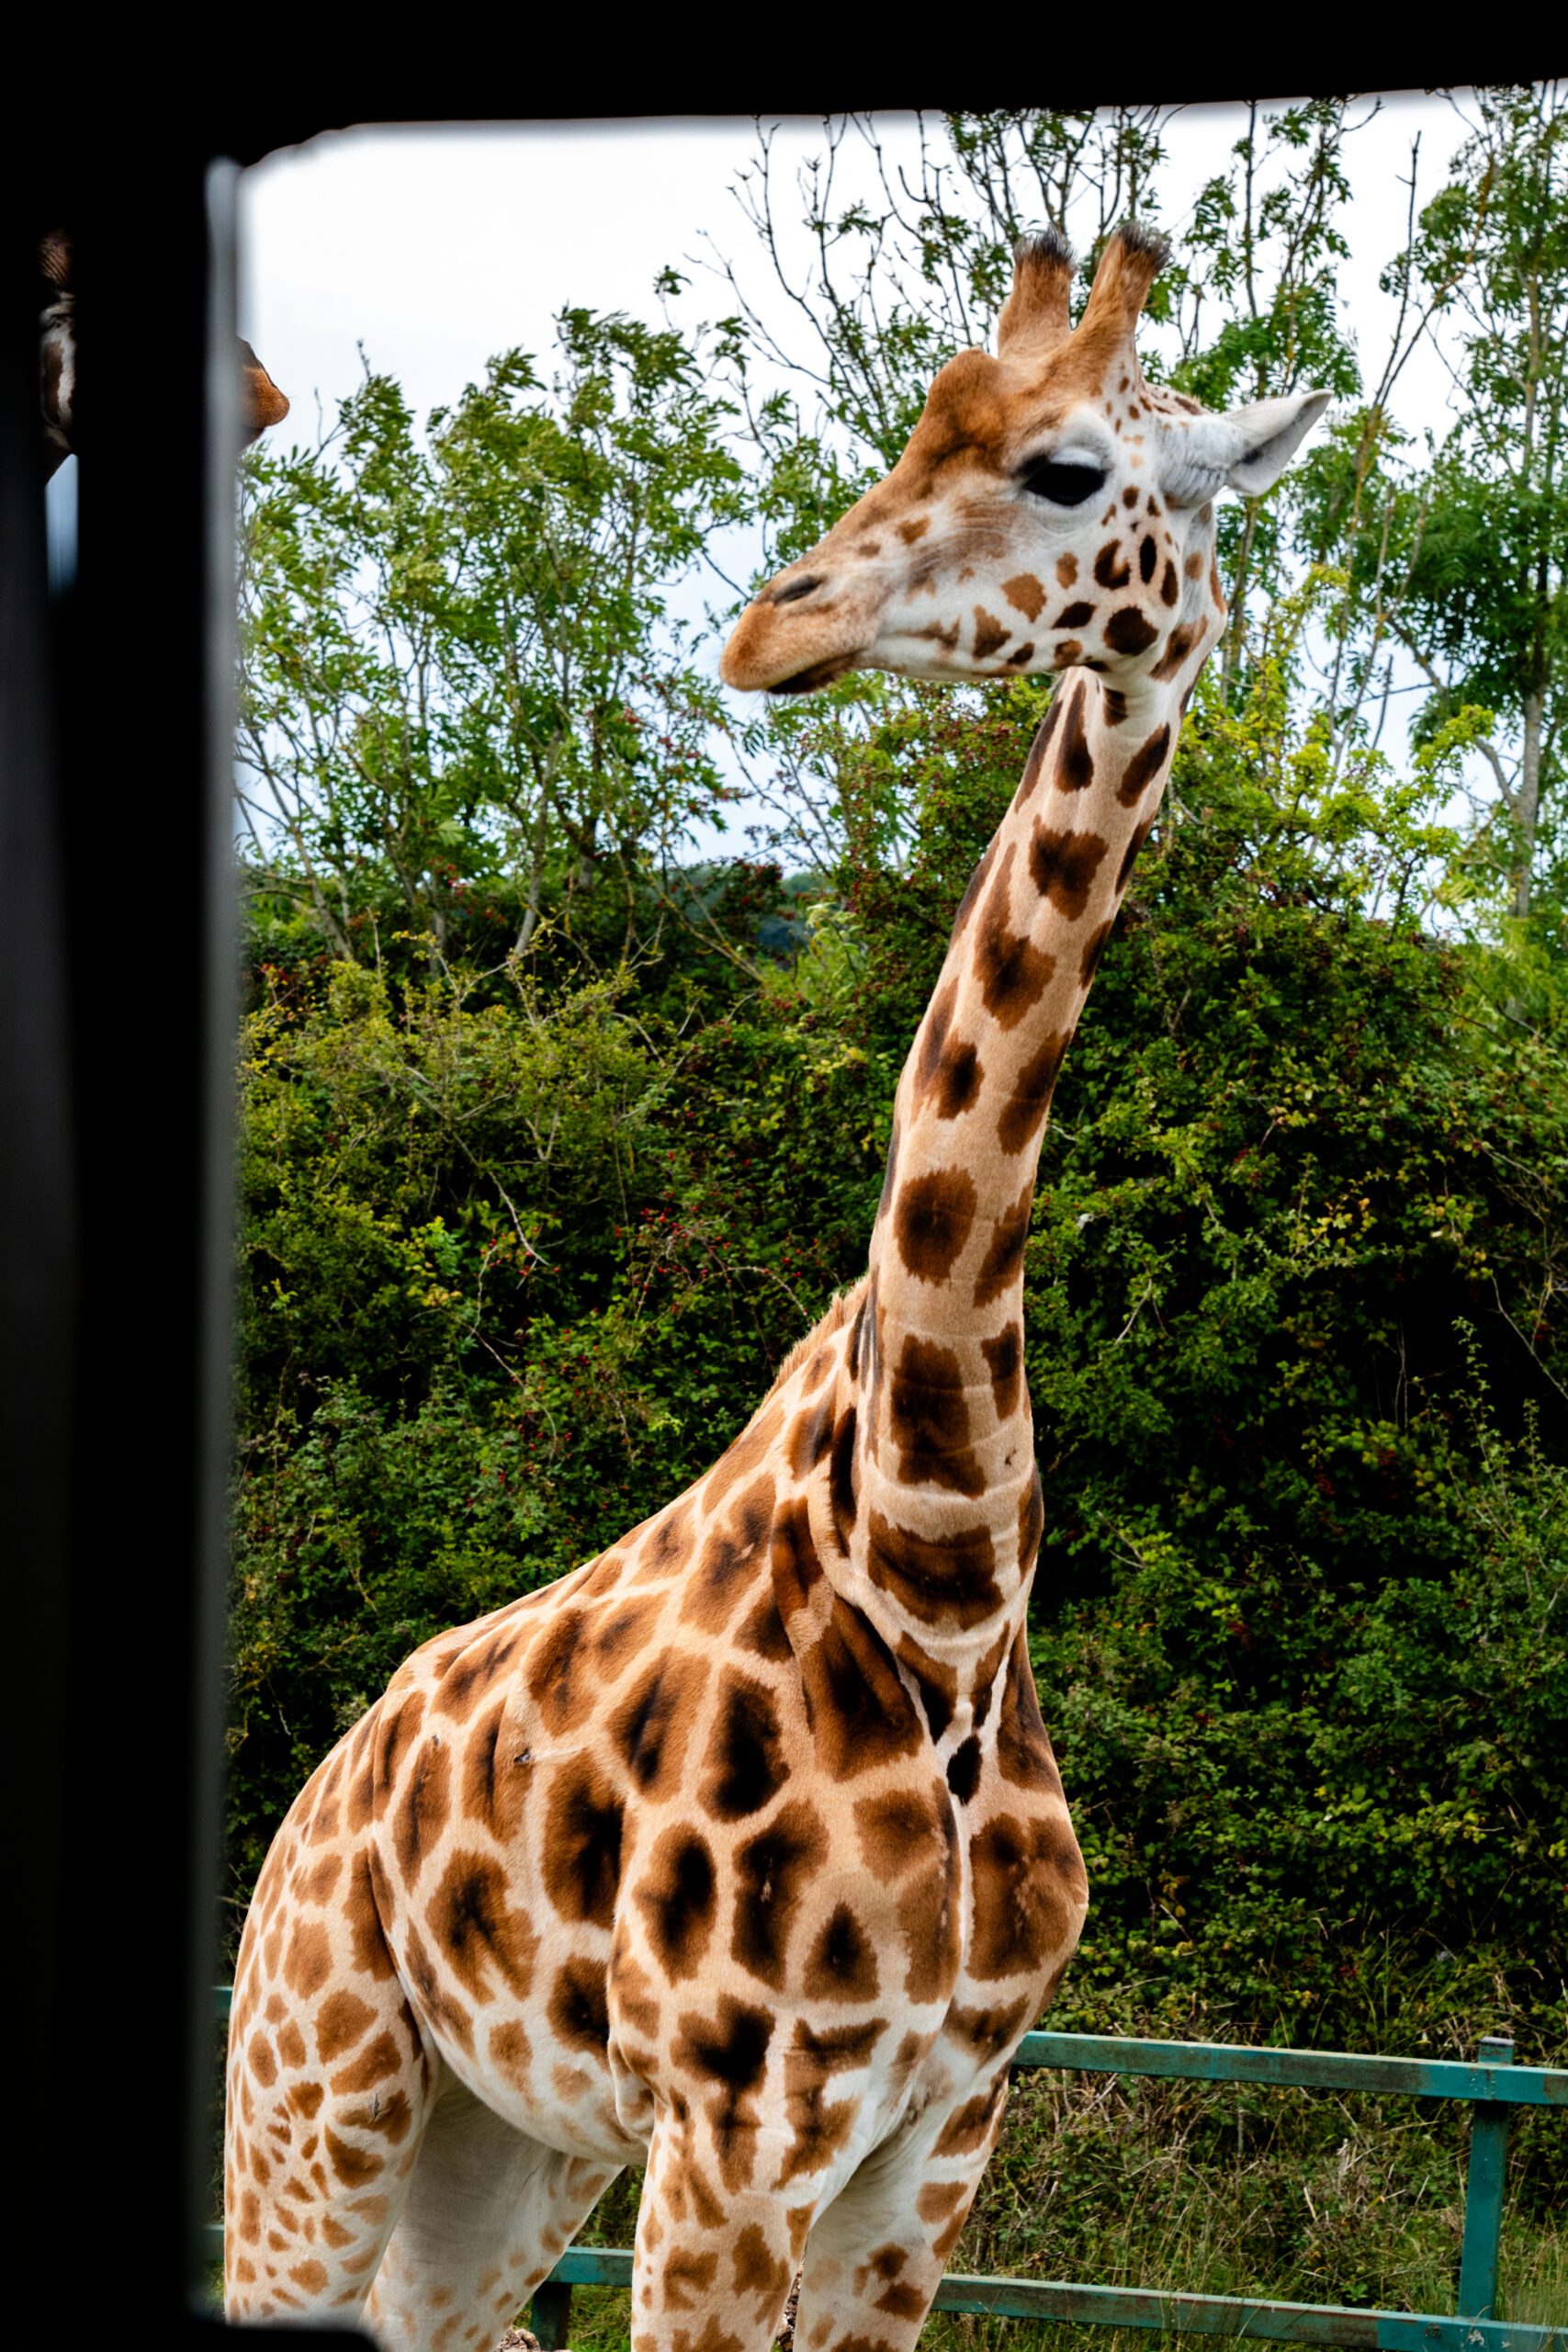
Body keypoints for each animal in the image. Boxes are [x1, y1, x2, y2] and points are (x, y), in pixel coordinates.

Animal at [224, 222, 1328, 2352]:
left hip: (498, 2156)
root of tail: (314, 1801)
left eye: (1065, 468)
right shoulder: (736, 2124)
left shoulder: (934, 2138)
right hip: (314, 2096)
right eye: (916, 425)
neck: (942, 1567)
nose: (765, 629)